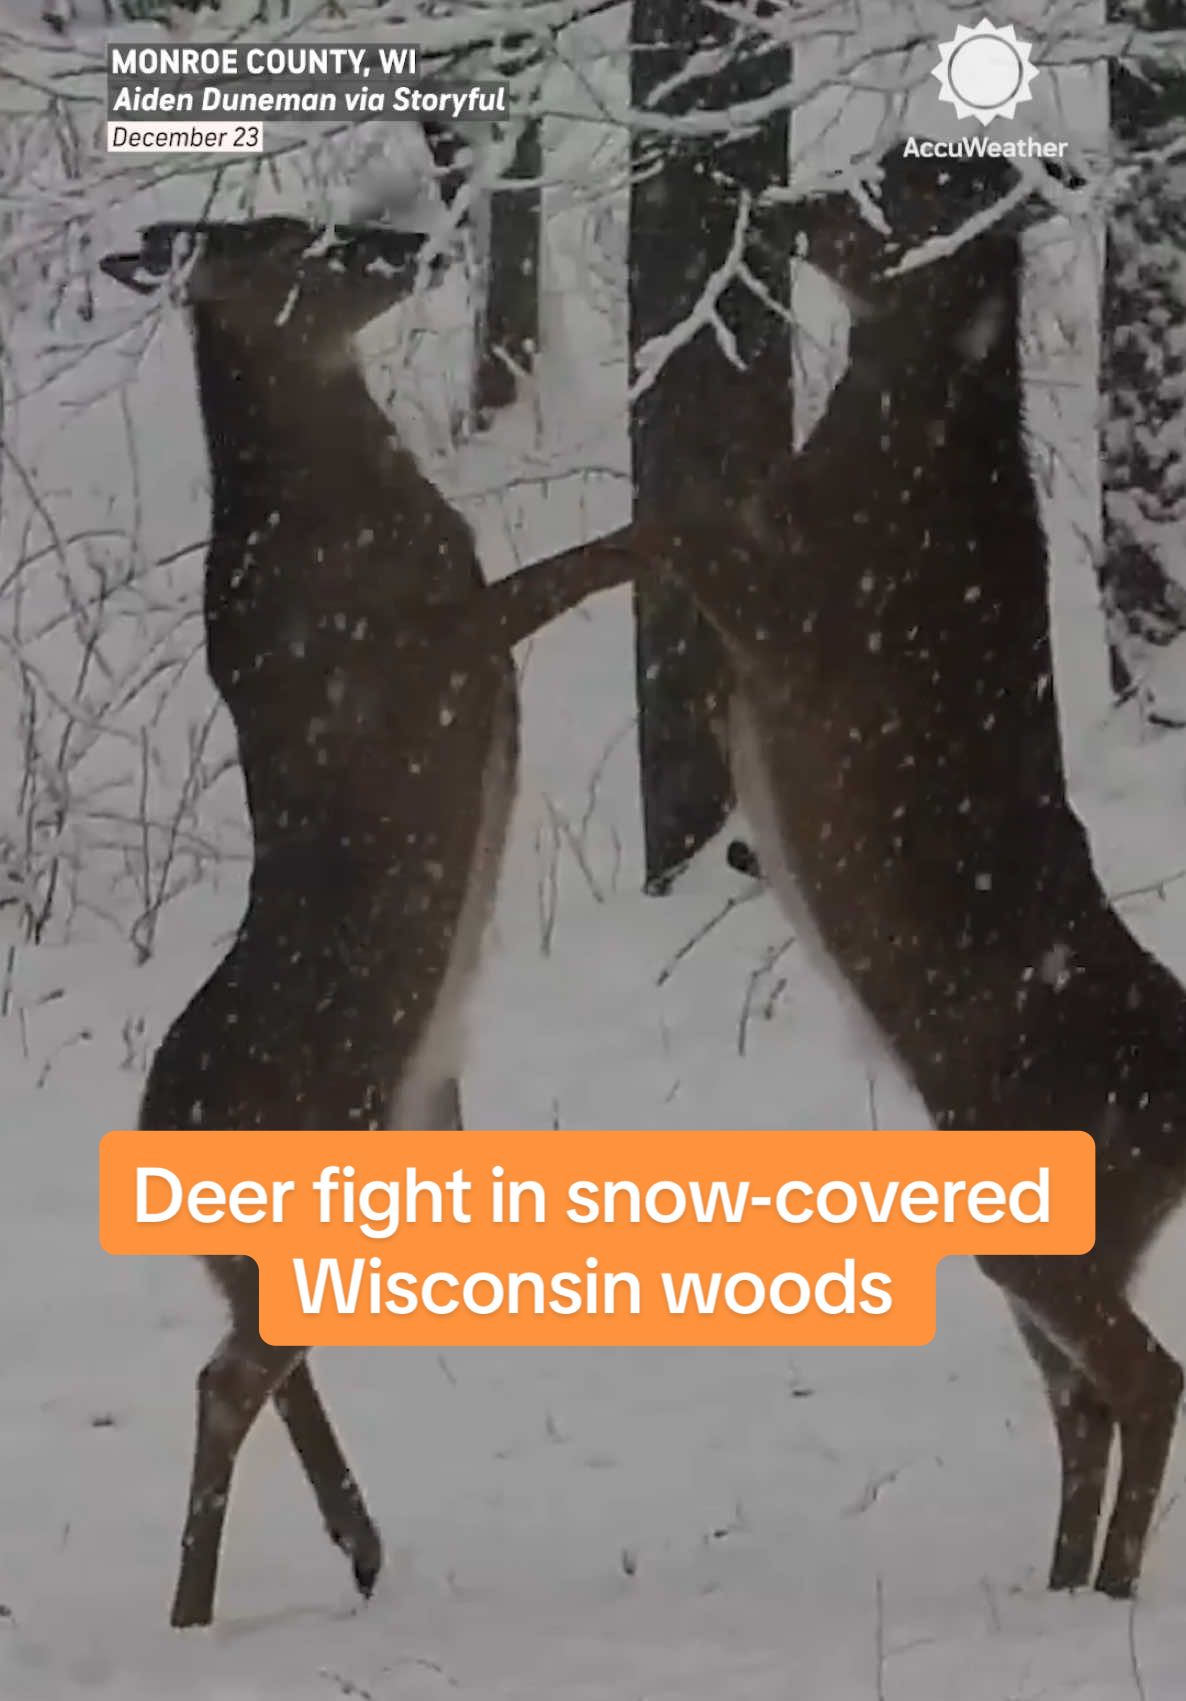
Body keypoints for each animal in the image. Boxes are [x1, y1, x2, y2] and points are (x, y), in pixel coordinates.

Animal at [102, 219, 646, 1626]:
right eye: (299, 242)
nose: (409, 241)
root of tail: (159, 1131)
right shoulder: (439, 626)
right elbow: (601, 557)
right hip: (319, 1157)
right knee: (228, 1378)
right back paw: (196, 1611)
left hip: (281, 1228)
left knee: (256, 1363)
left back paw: (358, 1544)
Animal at [660, 153, 1184, 1598]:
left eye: (901, 187)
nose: (787, 200)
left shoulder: (816, 617)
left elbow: (686, 531)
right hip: (1054, 1220)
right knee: (1084, 1399)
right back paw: (1061, 1584)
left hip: (1054, 1203)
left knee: (1144, 1377)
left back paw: (1102, 1592)